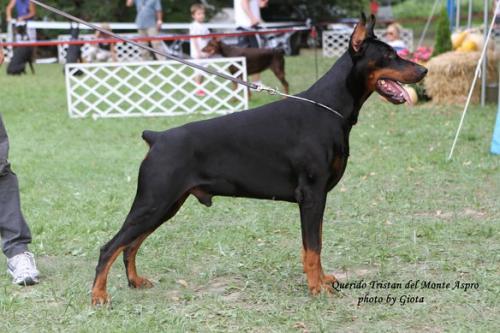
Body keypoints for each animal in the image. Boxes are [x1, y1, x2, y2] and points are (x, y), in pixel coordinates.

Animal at [90, 13, 426, 304]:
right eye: (389, 55)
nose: (423, 71)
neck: (330, 108)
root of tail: (157, 137)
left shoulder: (319, 198)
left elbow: (317, 245)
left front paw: (323, 280)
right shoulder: (311, 195)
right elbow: (312, 249)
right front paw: (317, 289)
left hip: (167, 204)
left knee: (130, 245)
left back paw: (135, 281)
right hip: (154, 200)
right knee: (110, 247)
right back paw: (99, 296)